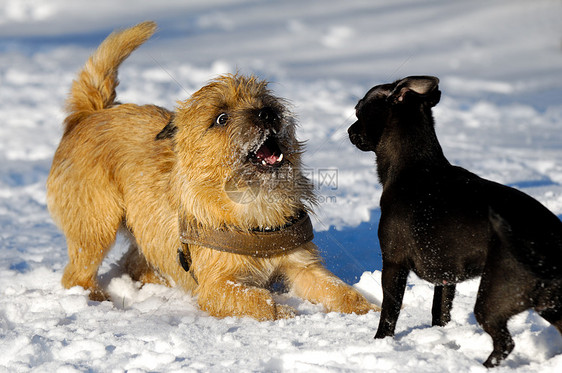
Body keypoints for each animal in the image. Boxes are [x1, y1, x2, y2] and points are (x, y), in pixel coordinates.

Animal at [46, 21, 374, 320]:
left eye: (265, 100)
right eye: (221, 118)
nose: (268, 113)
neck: (254, 201)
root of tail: (92, 113)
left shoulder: (302, 265)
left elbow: (339, 290)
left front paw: (369, 309)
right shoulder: (217, 285)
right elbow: (258, 300)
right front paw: (283, 312)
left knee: (132, 262)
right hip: (96, 225)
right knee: (77, 273)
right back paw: (96, 298)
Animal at [346, 75, 560, 366]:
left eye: (358, 109)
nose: (349, 130)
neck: (412, 166)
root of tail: (547, 238)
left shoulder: (393, 263)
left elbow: (390, 312)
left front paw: (380, 343)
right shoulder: (446, 279)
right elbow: (440, 311)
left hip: (494, 296)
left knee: (505, 342)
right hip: (550, 303)